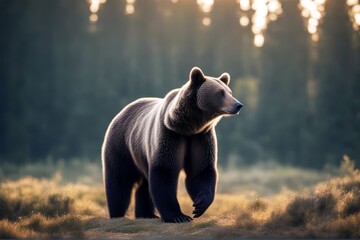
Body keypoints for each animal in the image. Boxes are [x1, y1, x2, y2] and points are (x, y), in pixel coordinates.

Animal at [101, 67, 242, 223]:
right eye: (220, 93)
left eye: (229, 92)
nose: (238, 105)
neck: (188, 126)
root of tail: (121, 112)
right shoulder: (169, 135)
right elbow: (164, 172)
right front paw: (178, 216)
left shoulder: (200, 138)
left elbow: (200, 170)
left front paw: (199, 205)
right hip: (121, 145)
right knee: (119, 181)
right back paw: (117, 214)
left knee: (144, 185)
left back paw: (146, 214)